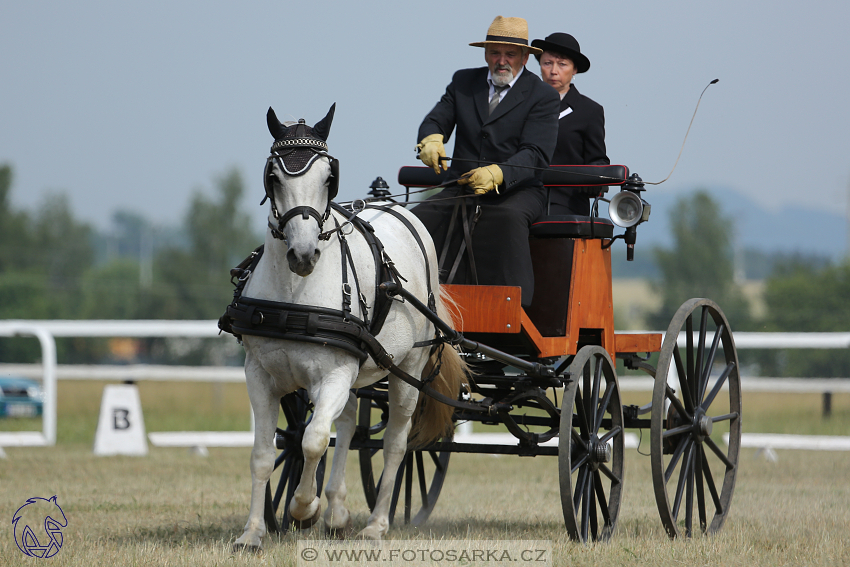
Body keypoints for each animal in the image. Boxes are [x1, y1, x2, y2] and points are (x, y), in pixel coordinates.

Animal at [229, 105, 460, 552]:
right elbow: (265, 453)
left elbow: (314, 439)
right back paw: (337, 512)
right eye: (273, 176)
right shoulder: (260, 374)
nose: (303, 255)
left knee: (395, 443)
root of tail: (397, 209)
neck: (296, 292)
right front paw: (252, 532)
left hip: (407, 370)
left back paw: (376, 524)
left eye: (328, 177)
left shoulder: (335, 374)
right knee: (350, 425)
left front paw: (303, 509)